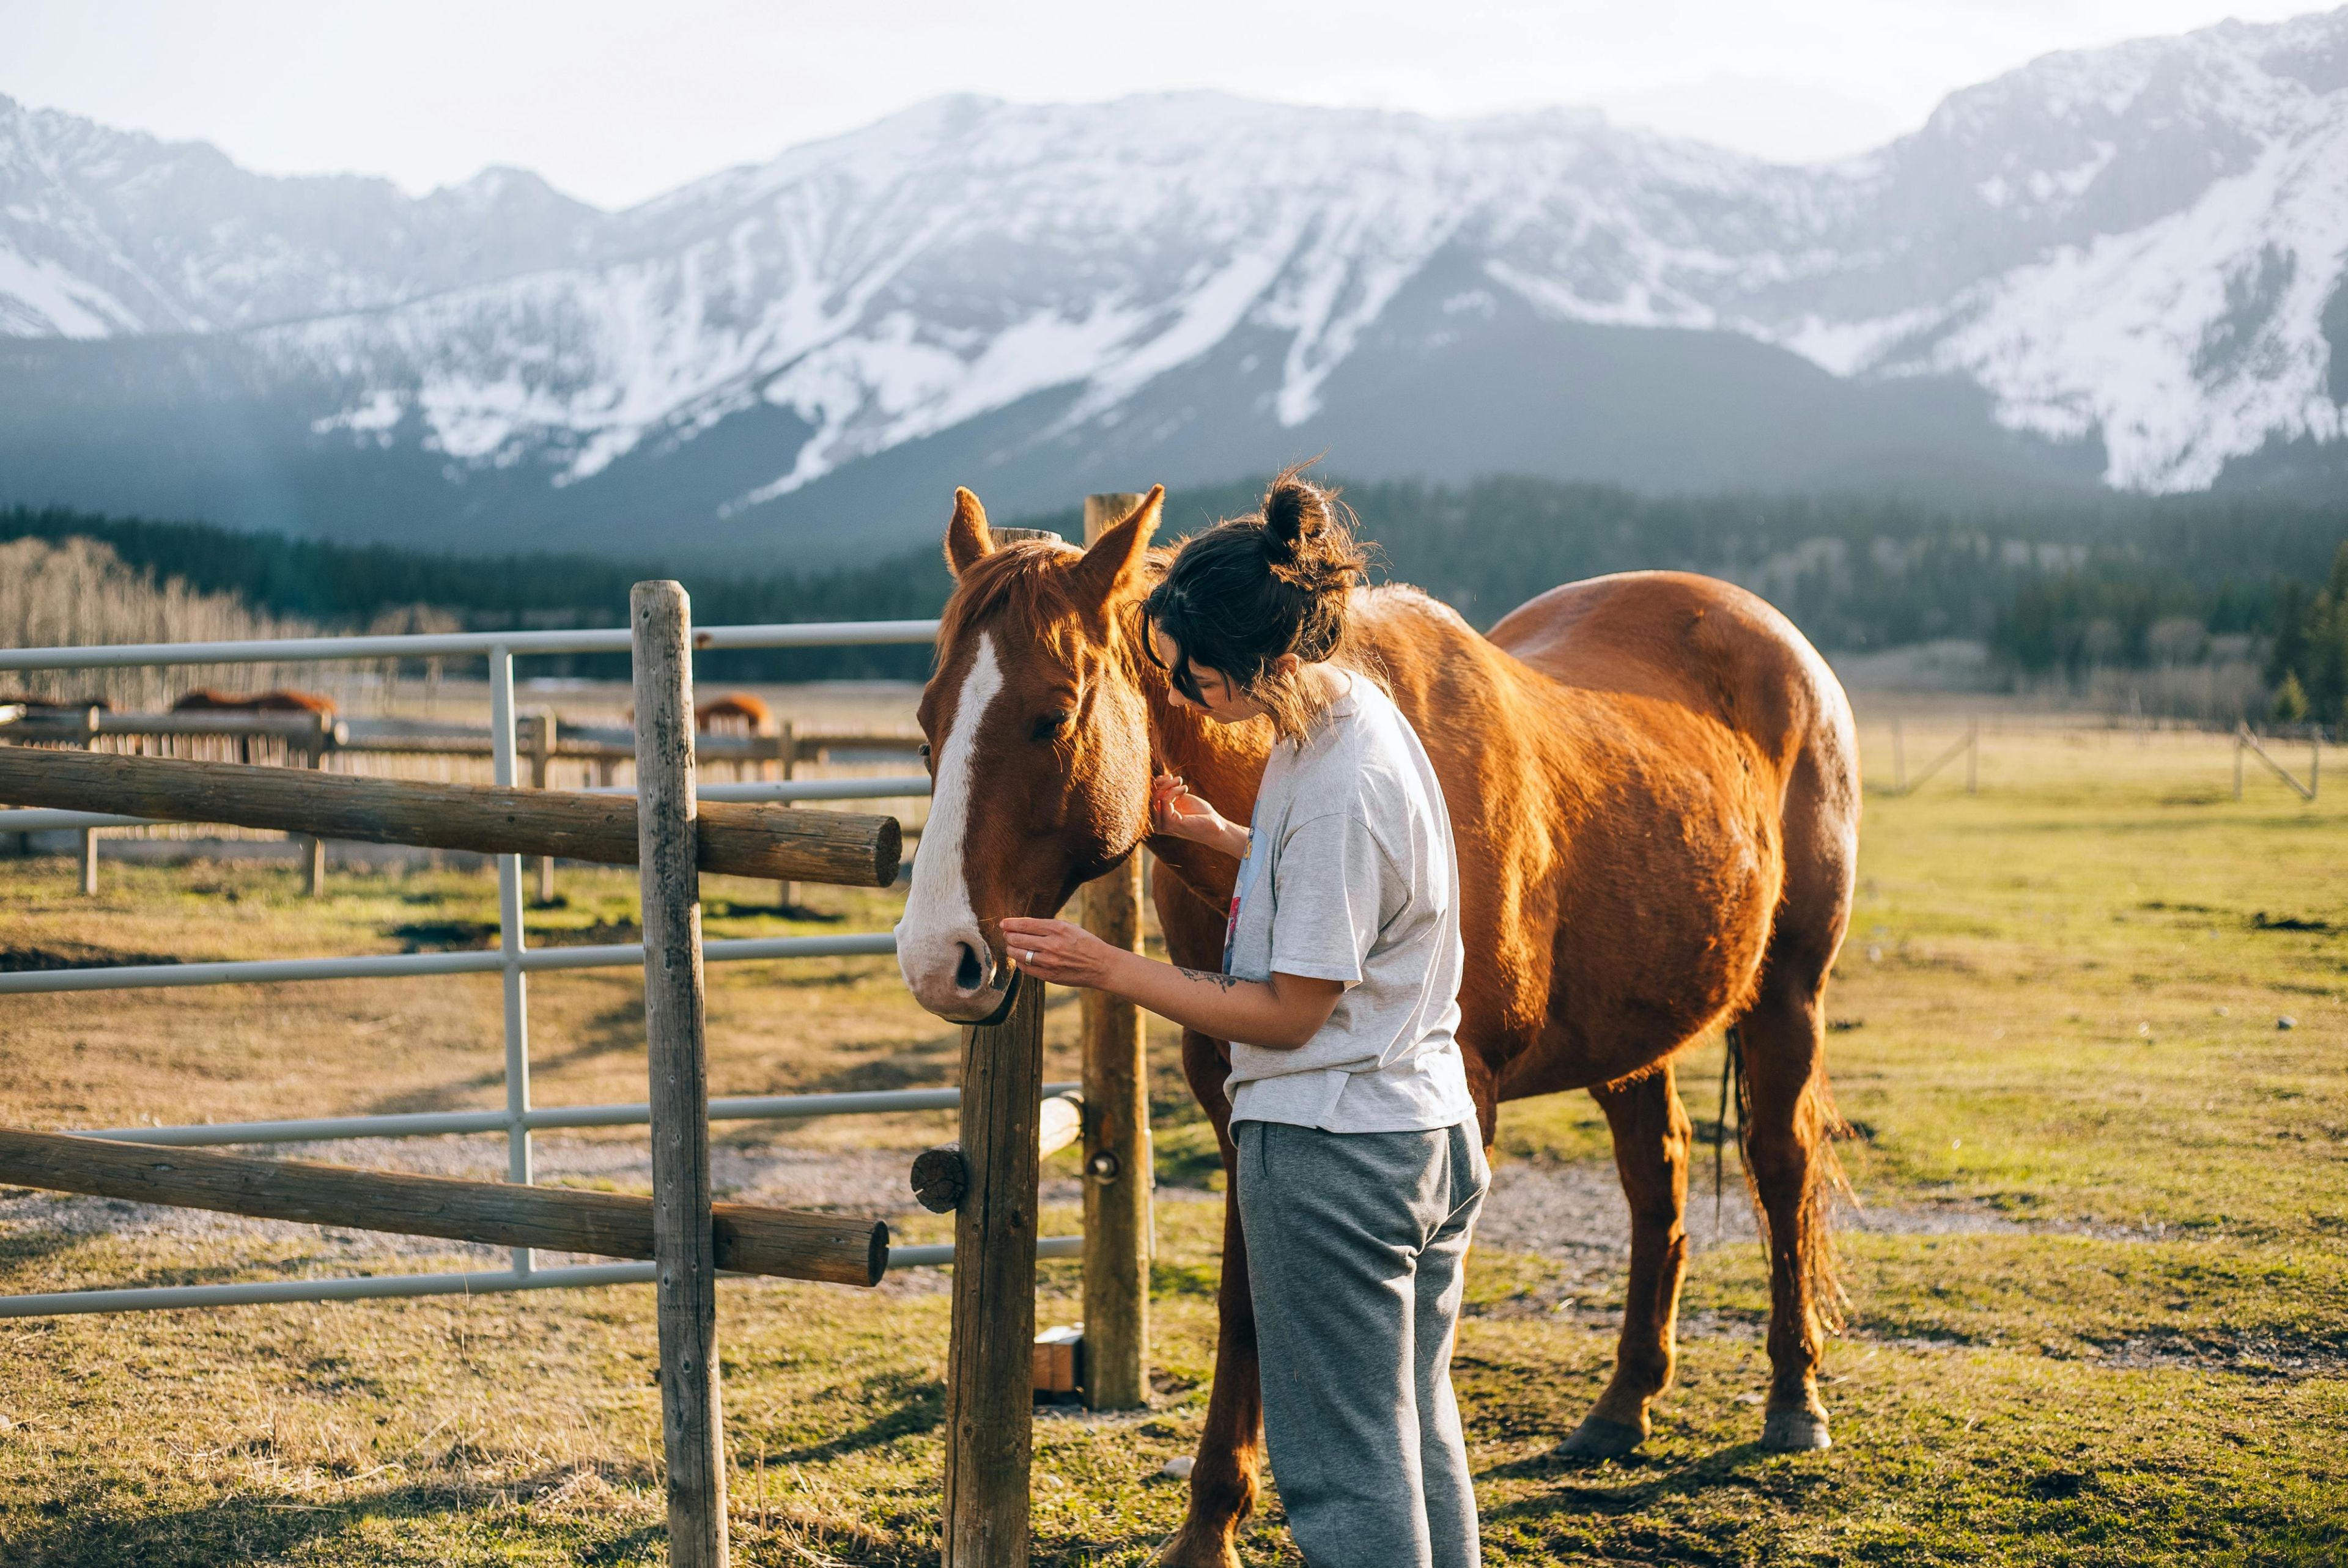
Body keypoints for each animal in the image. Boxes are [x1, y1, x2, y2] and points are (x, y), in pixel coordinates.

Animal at [895, 487, 1861, 1568]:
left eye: (1052, 715)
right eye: (928, 723)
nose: (936, 957)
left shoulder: (1463, 1095)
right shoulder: (1239, 1100)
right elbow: (1247, 1300)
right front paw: (1208, 1526)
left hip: (1788, 993)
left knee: (1781, 1167)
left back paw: (1794, 1399)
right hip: (1631, 1036)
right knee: (1660, 1178)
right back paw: (1622, 1406)